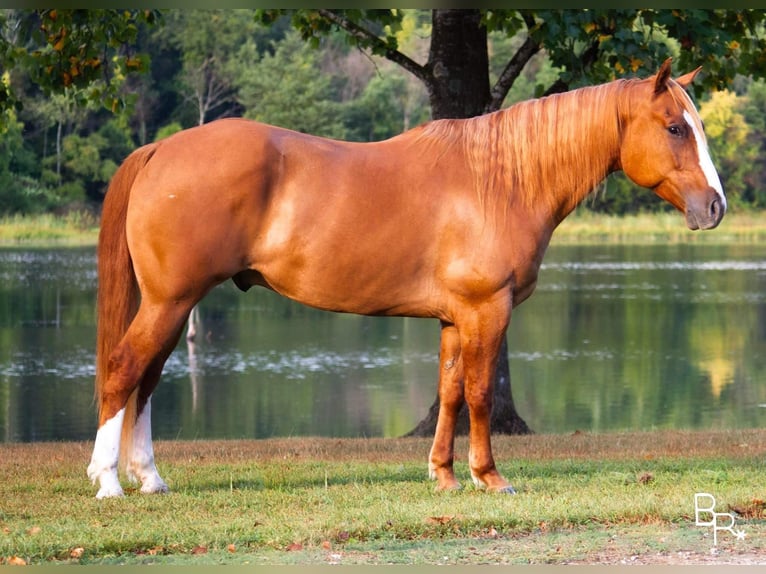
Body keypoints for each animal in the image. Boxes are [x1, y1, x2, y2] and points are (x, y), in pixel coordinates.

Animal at [85, 59, 728, 500]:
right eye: (675, 128)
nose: (715, 207)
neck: (501, 180)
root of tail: (161, 148)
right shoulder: (487, 310)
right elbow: (479, 393)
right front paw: (490, 477)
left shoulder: (454, 317)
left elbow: (449, 391)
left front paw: (443, 476)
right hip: (170, 302)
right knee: (124, 370)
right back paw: (110, 481)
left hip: (172, 305)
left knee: (147, 380)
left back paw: (149, 477)